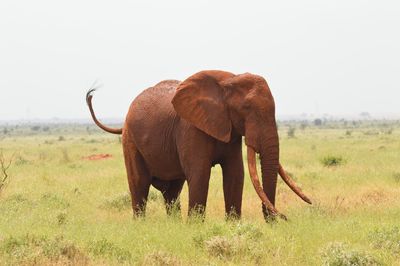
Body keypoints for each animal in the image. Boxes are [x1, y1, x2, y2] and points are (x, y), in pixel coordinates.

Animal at [86, 69, 312, 220]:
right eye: (246, 108)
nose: (279, 218)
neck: (228, 80)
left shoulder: (228, 128)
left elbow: (235, 173)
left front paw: (233, 226)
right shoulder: (191, 128)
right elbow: (200, 173)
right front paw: (196, 227)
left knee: (172, 191)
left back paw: (174, 226)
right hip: (131, 140)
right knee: (139, 184)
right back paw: (142, 225)